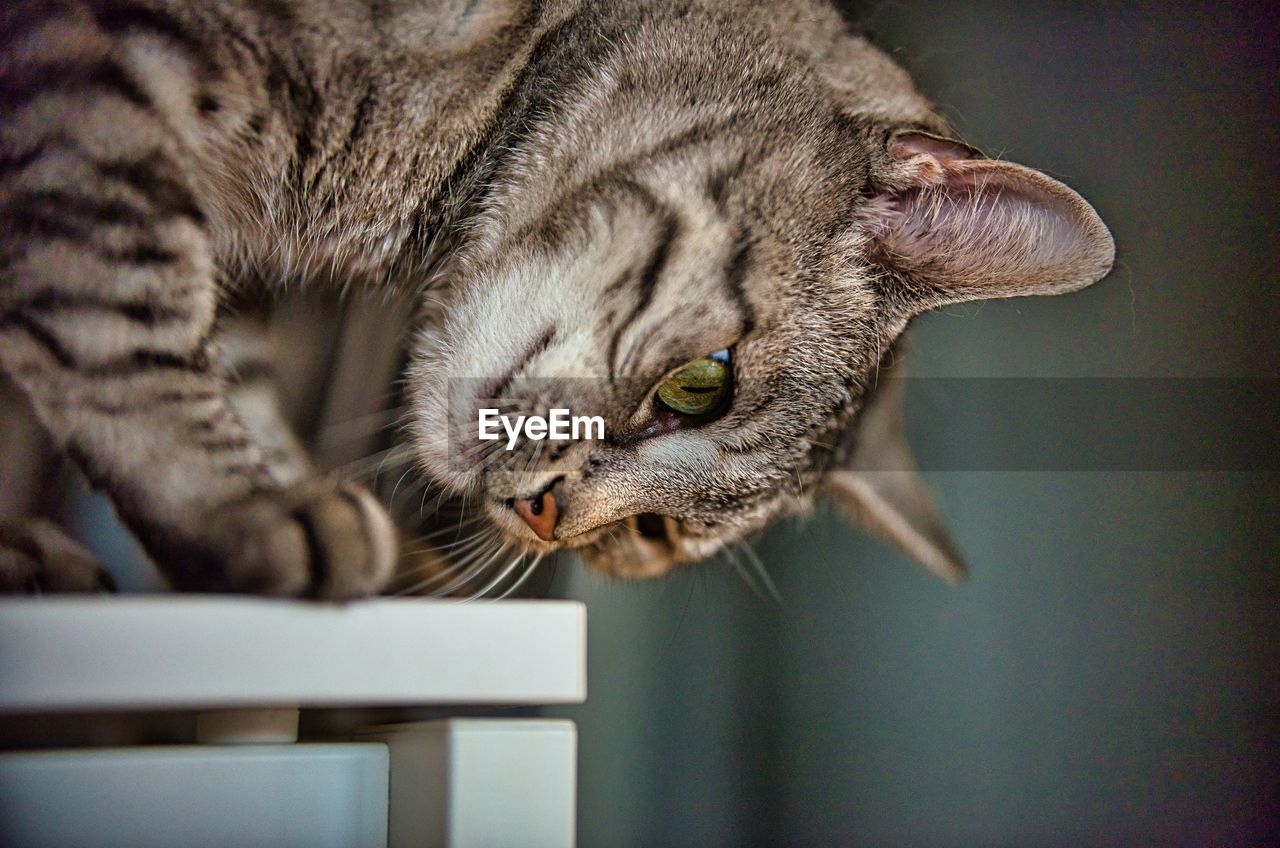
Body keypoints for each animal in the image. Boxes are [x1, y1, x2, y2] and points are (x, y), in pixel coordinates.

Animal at [0, 0, 1111, 596]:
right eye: (701, 383)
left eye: (653, 536)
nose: (543, 515)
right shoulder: (109, 82)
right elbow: (122, 311)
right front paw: (242, 507)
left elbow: (228, 363)